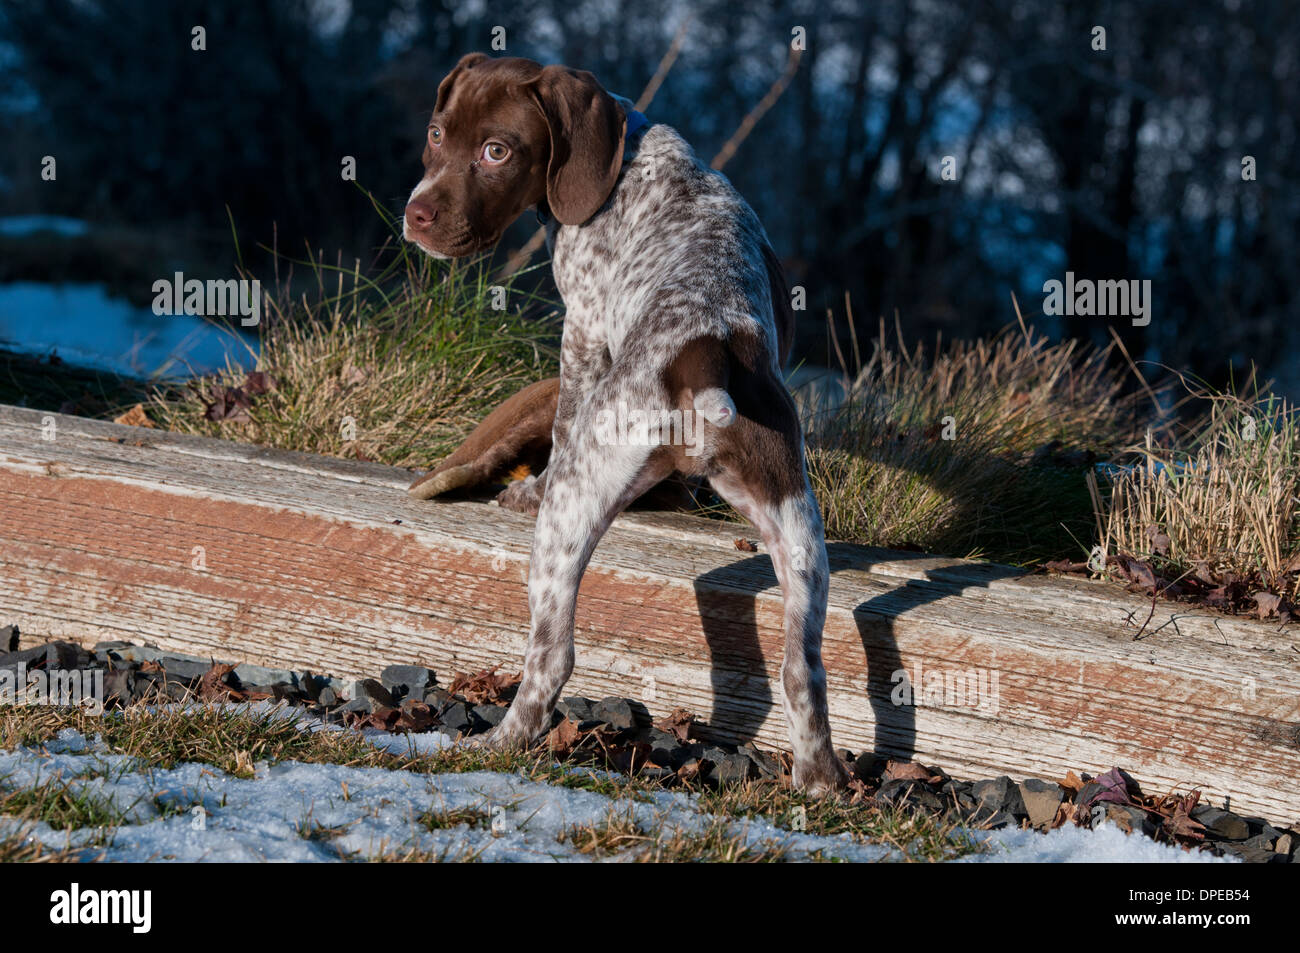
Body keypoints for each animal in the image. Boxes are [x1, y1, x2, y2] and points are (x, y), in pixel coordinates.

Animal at [405, 53, 852, 795]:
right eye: (437, 133)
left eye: (497, 150)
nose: (415, 216)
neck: (625, 150)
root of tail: (708, 349)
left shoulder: (582, 332)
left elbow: (560, 424)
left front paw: (524, 489)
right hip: (798, 533)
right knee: (801, 672)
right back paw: (818, 781)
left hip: (574, 510)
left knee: (552, 656)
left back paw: (498, 741)